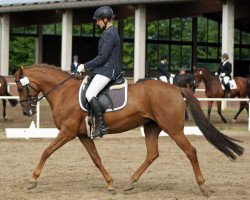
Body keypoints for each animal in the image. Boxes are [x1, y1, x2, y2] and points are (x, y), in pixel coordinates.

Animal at [14, 64, 244, 197]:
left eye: (19, 86)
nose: (26, 111)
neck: (64, 92)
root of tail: (176, 88)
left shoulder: (67, 132)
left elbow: (46, 151)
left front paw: (32, 180)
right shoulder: (82, 135)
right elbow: (96, 159)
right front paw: (110, 184)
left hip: (173, 128)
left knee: (190, 151)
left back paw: (203, 187)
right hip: (151, 127)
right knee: (152, 154)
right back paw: (130, 183)